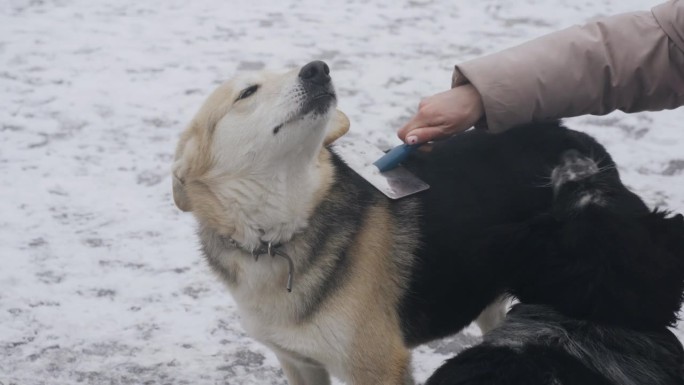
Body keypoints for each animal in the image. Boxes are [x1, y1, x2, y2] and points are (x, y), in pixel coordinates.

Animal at [172, 61, 684, 382]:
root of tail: (571, 134)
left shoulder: (378, 366)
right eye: (247, 92)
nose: (317, 67)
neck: (281, 233)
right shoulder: (299, 362)